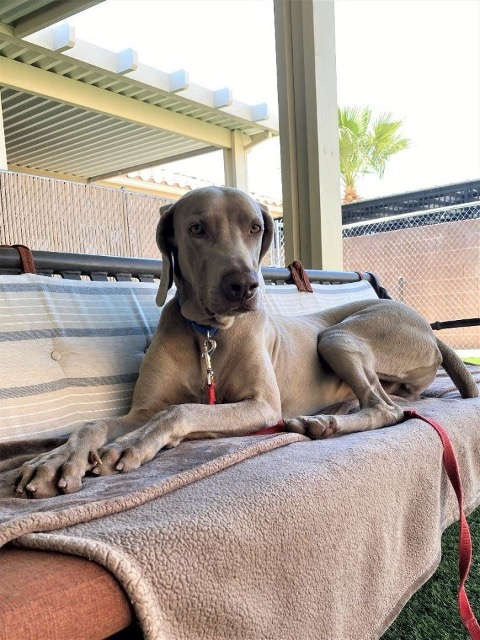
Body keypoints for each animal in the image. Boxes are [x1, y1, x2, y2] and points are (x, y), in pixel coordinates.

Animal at [15, 188, 480, 498]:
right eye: (196, 228)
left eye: (255, 227)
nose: (245, 286)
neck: (209, 335)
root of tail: (429, 331)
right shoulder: (143, 409)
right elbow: (98, 423)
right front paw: (53, 461)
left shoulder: (261, 406)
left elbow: (180, 411)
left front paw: (131, 444)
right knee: (383, 402)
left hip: (338, 334)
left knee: (386, 408)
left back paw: (325, 424)